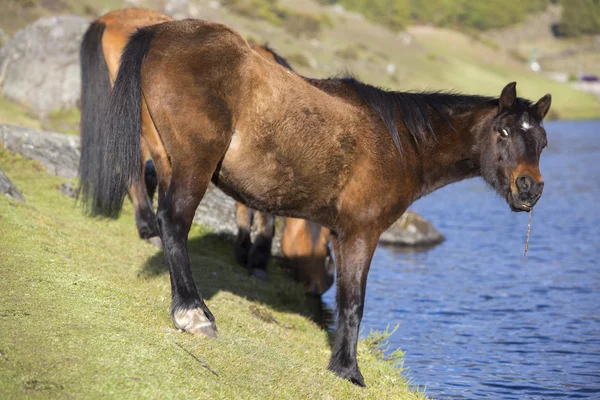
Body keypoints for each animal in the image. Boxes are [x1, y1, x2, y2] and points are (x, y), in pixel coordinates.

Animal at [78, 7, 332, 294]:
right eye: (326, 244)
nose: (320, 288)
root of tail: (108, 19)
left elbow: (244, 205)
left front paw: (243, 248)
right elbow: (261, 211)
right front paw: (257, 258)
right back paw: (148, 228)